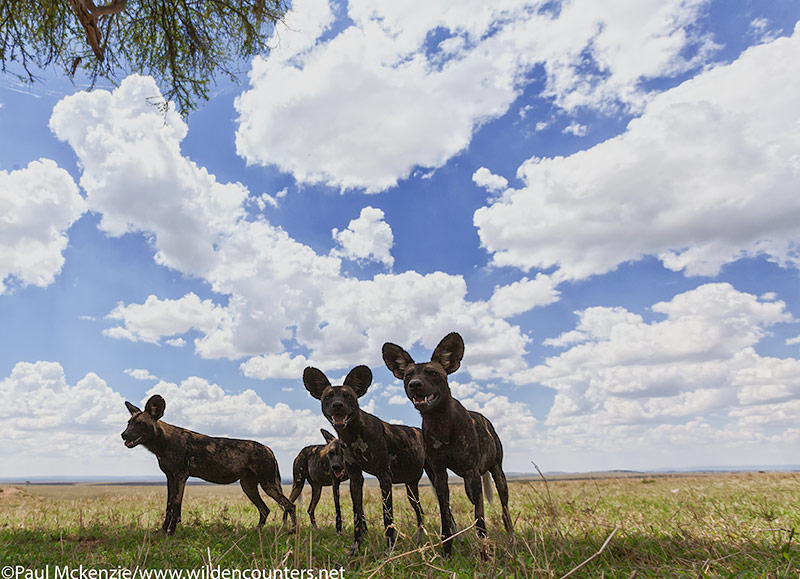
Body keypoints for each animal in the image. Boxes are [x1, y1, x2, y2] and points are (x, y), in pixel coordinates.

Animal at [123, 394, 298, 536]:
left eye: (140, 424)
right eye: (128, 423)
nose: (123, 434)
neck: (163, 442)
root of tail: (268, 448)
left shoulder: (180, 477)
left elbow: (176, 506)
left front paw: (171, 532)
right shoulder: (170, 478)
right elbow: (169, 506)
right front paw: (163, 530)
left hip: (268, 485)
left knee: (290, 506)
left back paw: (293, 532)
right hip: (248, 486)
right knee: (265, 509)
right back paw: (256, 531)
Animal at [302, 364, 424, 556]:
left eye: (348, 396)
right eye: (328, 396)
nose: (337, 405)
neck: (353, 434)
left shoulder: (384, 477)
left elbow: (387, 518)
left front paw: (390, 549)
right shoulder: (355, 478)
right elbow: (357, 515)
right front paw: (355, 549)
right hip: (411, 487)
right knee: (422, 512)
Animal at [382, 334, 512, 560]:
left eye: (432, 373)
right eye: (408, 376)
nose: (415, 385)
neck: (441, 424)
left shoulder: (472, 474)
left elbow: (480, 520)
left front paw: (485, 555)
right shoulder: (440, 476)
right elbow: (445, 519)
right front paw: (447, 554)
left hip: (496, 475)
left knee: (504, 510)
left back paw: (511, 538)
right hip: (468, 484)